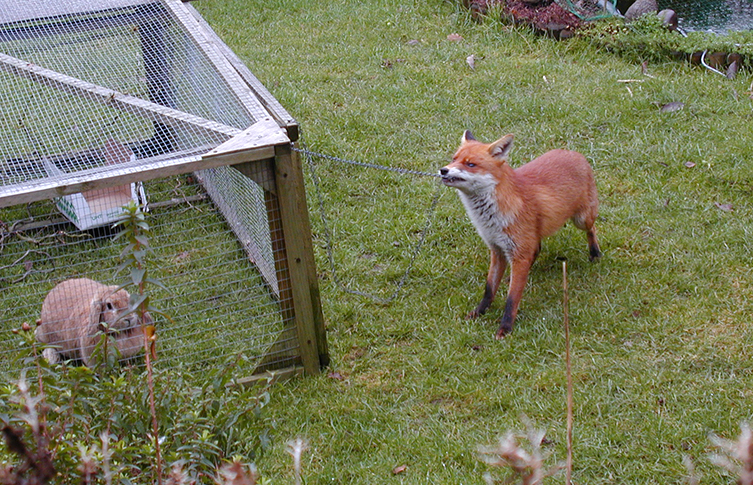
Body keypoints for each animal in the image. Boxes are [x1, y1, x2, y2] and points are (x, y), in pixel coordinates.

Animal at [440, 130, 601, 339]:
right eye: (454, 159)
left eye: (471, 164)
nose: (443, 170)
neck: (490, 219)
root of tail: (573, 153)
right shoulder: (497, 250)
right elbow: (489, 289)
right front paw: (479, 312)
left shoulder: (518, 252)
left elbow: (512, 298)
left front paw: (505, 328)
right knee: (537, 248)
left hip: (581, 219)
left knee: (592, 229)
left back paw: (595, 253)